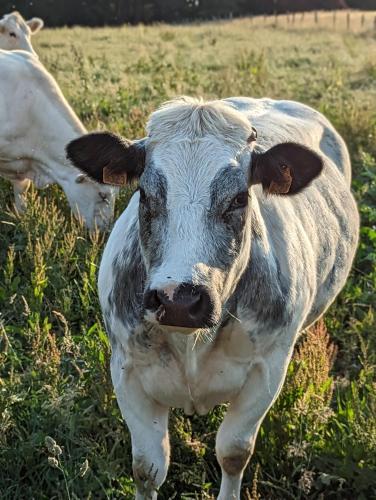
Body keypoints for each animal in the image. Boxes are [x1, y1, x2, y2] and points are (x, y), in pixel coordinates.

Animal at [67, 95, 358, 498]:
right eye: (145, 194)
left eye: (239, 198)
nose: (178, 299)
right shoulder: (127, 371)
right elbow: (146, 468)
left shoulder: (267, 372)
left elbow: (233, 453)